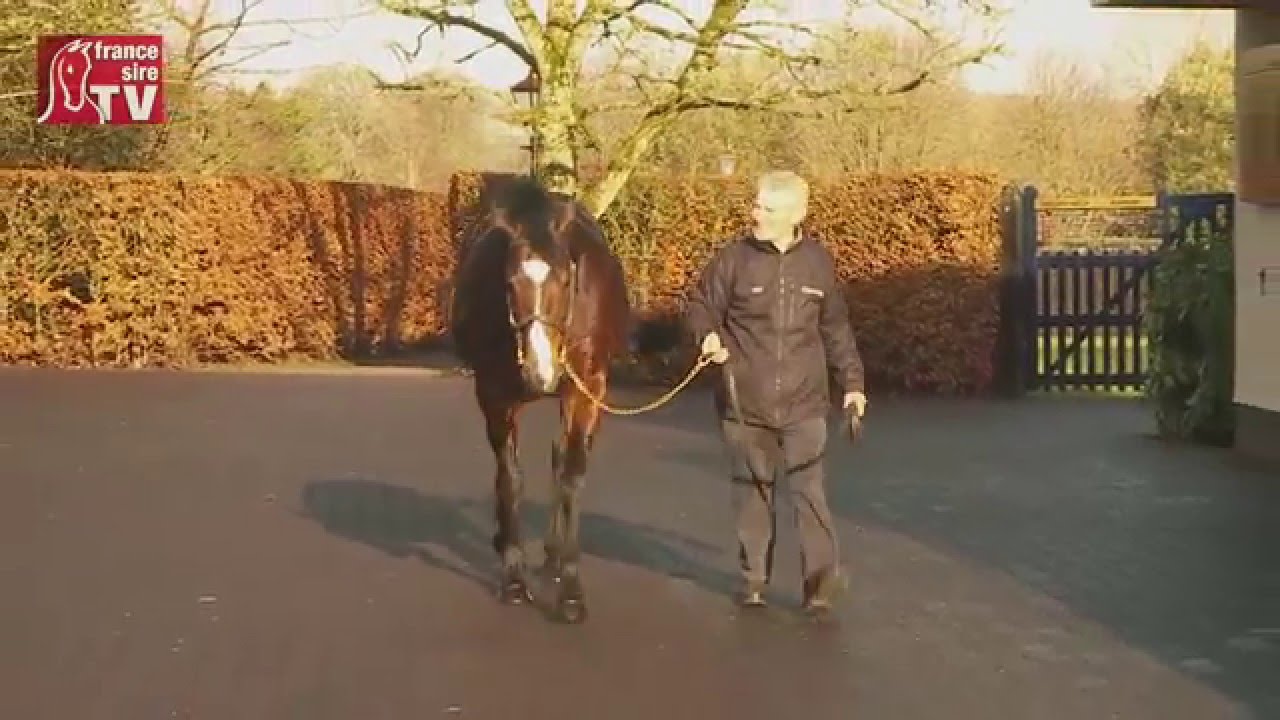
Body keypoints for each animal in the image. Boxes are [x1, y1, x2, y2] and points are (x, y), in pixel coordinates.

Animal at [449, 176, 663, 624]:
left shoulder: (588, 387)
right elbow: (510, 478)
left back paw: (552, 553)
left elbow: (570, 474)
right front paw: (513, 579)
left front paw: (571, 589)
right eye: (509, 283)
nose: (540, 371)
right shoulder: (492, 392)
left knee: (560, 456)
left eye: (566, 281)